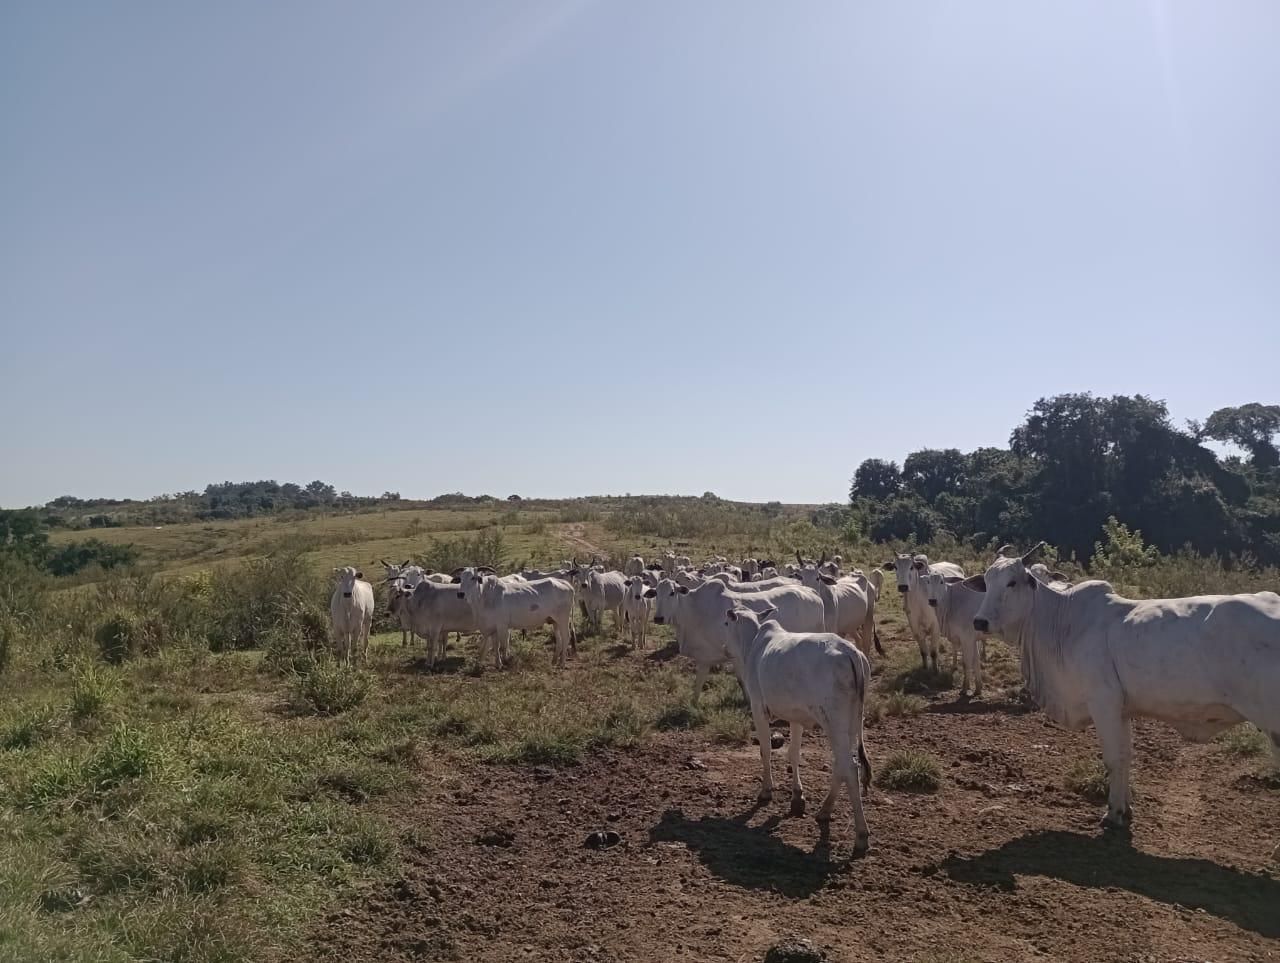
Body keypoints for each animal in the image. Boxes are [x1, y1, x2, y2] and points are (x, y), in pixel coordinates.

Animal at [650, 571, 819, 701]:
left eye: (672, 592)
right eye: (656, 593)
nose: (658, 618)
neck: (693, 610)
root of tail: (811, 592)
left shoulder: (734, 656)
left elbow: (742, 681)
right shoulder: (706, 658)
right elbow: (698, 684)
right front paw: (693, 705)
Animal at [972, 542, 1274, 829]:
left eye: (1012, 582)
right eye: (986, 581)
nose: (979, 621)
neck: (1062, 621)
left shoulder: (1103, 704)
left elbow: (1113, 758)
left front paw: (1113, 812)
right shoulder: (1123, 710)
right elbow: (1126, 756)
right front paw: (1126, 808)